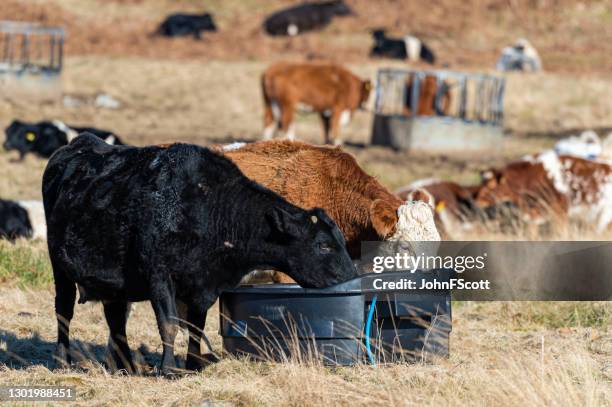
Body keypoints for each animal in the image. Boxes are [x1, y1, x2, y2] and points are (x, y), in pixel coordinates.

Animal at [43, 135, 356, 376]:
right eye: (323, 246)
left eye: (341, 241)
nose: (352, 275)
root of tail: (79, 144)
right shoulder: (160, 276)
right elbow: (169, 325)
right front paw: (169, 369)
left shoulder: (204, 285)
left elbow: (195, 326)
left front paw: (193, 364)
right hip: (59, 267)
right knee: (64, 311)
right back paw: (63, 361)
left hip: (115, 282)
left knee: (116, 318)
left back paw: (125, 366)